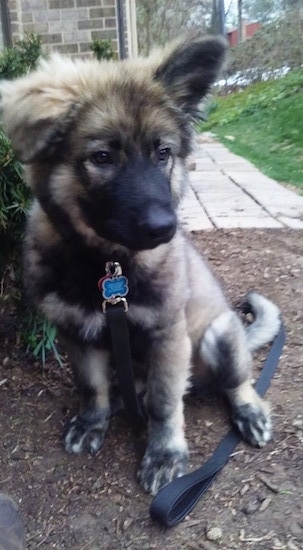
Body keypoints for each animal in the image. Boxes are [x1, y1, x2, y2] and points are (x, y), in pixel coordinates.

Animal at [0, 34, 282, 496]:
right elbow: (91, 386)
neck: (107, 265)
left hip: (219, 335)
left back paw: (249, 412)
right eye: (102, 157)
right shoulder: (77, 331)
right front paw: (92, 423)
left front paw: (164, 454)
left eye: (162, 153)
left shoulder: (167, 333)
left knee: (237, 383)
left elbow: (167, 404)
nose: (164, 227)